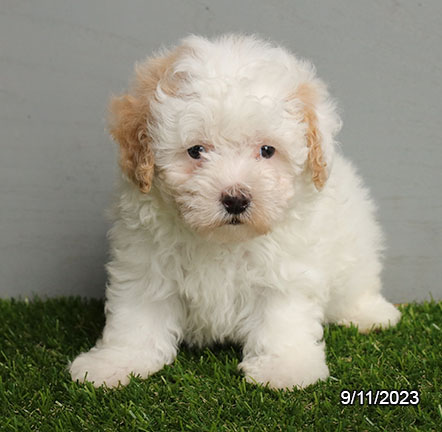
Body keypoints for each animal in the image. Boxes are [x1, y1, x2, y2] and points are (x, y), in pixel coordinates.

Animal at [70, 35, 400, 390]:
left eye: (267, 151)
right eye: (196, 151)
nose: (236, 199)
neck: (224, 240)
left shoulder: (286, 271)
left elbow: (281, 318)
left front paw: (284, 368)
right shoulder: (146, 263)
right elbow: (136, 319)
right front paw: (114, 363)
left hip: (356, 248)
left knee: (359, 283)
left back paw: (371, 314)